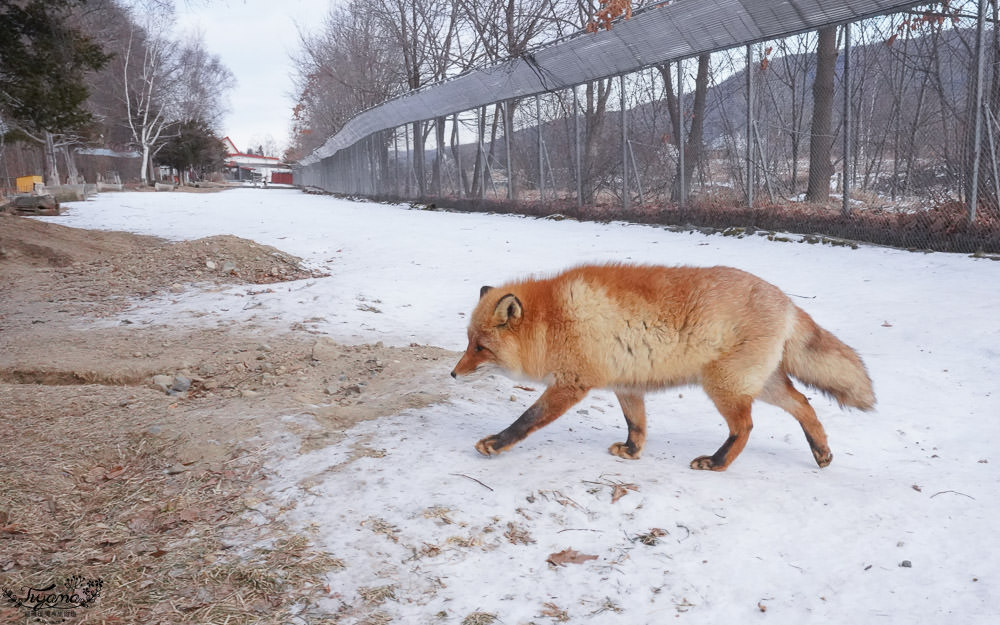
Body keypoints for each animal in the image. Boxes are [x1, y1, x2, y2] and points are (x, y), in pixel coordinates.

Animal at [454, 260, 876, 470]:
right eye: (468, 342)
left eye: (480, 347)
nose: (453, 374)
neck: (554, 319)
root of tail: (787, 300)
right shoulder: (626, 383)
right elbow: (636, 424)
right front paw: (632, 452)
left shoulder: (572, 383)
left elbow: (526, 419)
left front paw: (495, 444)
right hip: (759, 383)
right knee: (804, 404)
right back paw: (821, 453)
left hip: (723, 385)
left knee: (746, 427)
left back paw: (717, 463)